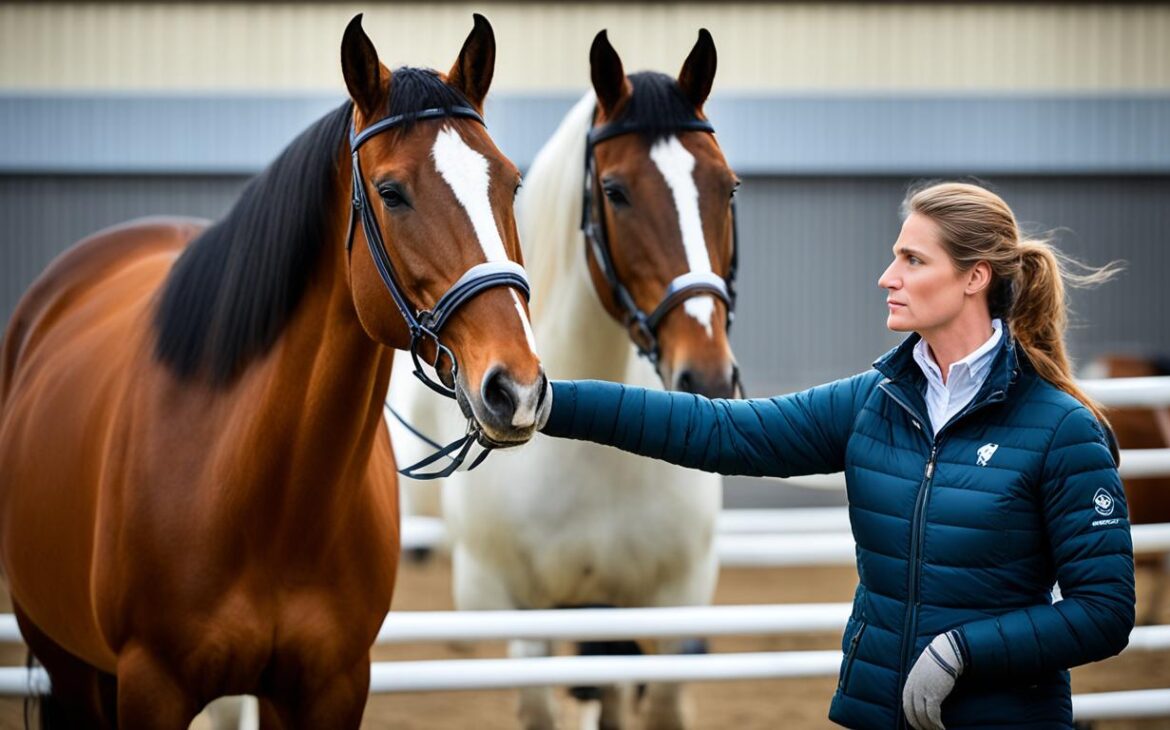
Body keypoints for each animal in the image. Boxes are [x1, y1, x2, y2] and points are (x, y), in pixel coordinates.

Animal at [0, 12, 542, 730]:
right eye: (391, 193)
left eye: (510, 183)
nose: (517, 388)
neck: (269, 498)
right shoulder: (151, 686)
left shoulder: (332, 689)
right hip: (66, 659)